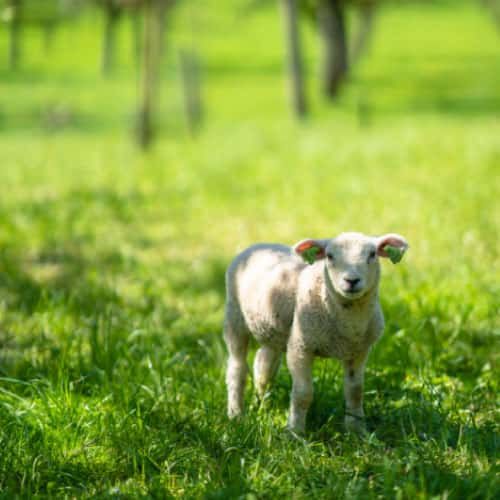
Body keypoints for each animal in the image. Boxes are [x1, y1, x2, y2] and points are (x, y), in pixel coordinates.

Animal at [224, 232, 410, 432]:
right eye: (329, 256)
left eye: (372, 254)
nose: (351, 281)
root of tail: (260, 245)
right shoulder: (301, 346)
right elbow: (303, 393)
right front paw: (295, 432)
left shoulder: (359, 351)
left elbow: (355, 391)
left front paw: (357, 429)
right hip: (235, 317)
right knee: (237, 368)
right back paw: (236, 414)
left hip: (274, 329)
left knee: (264, 364)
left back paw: (262, 405)